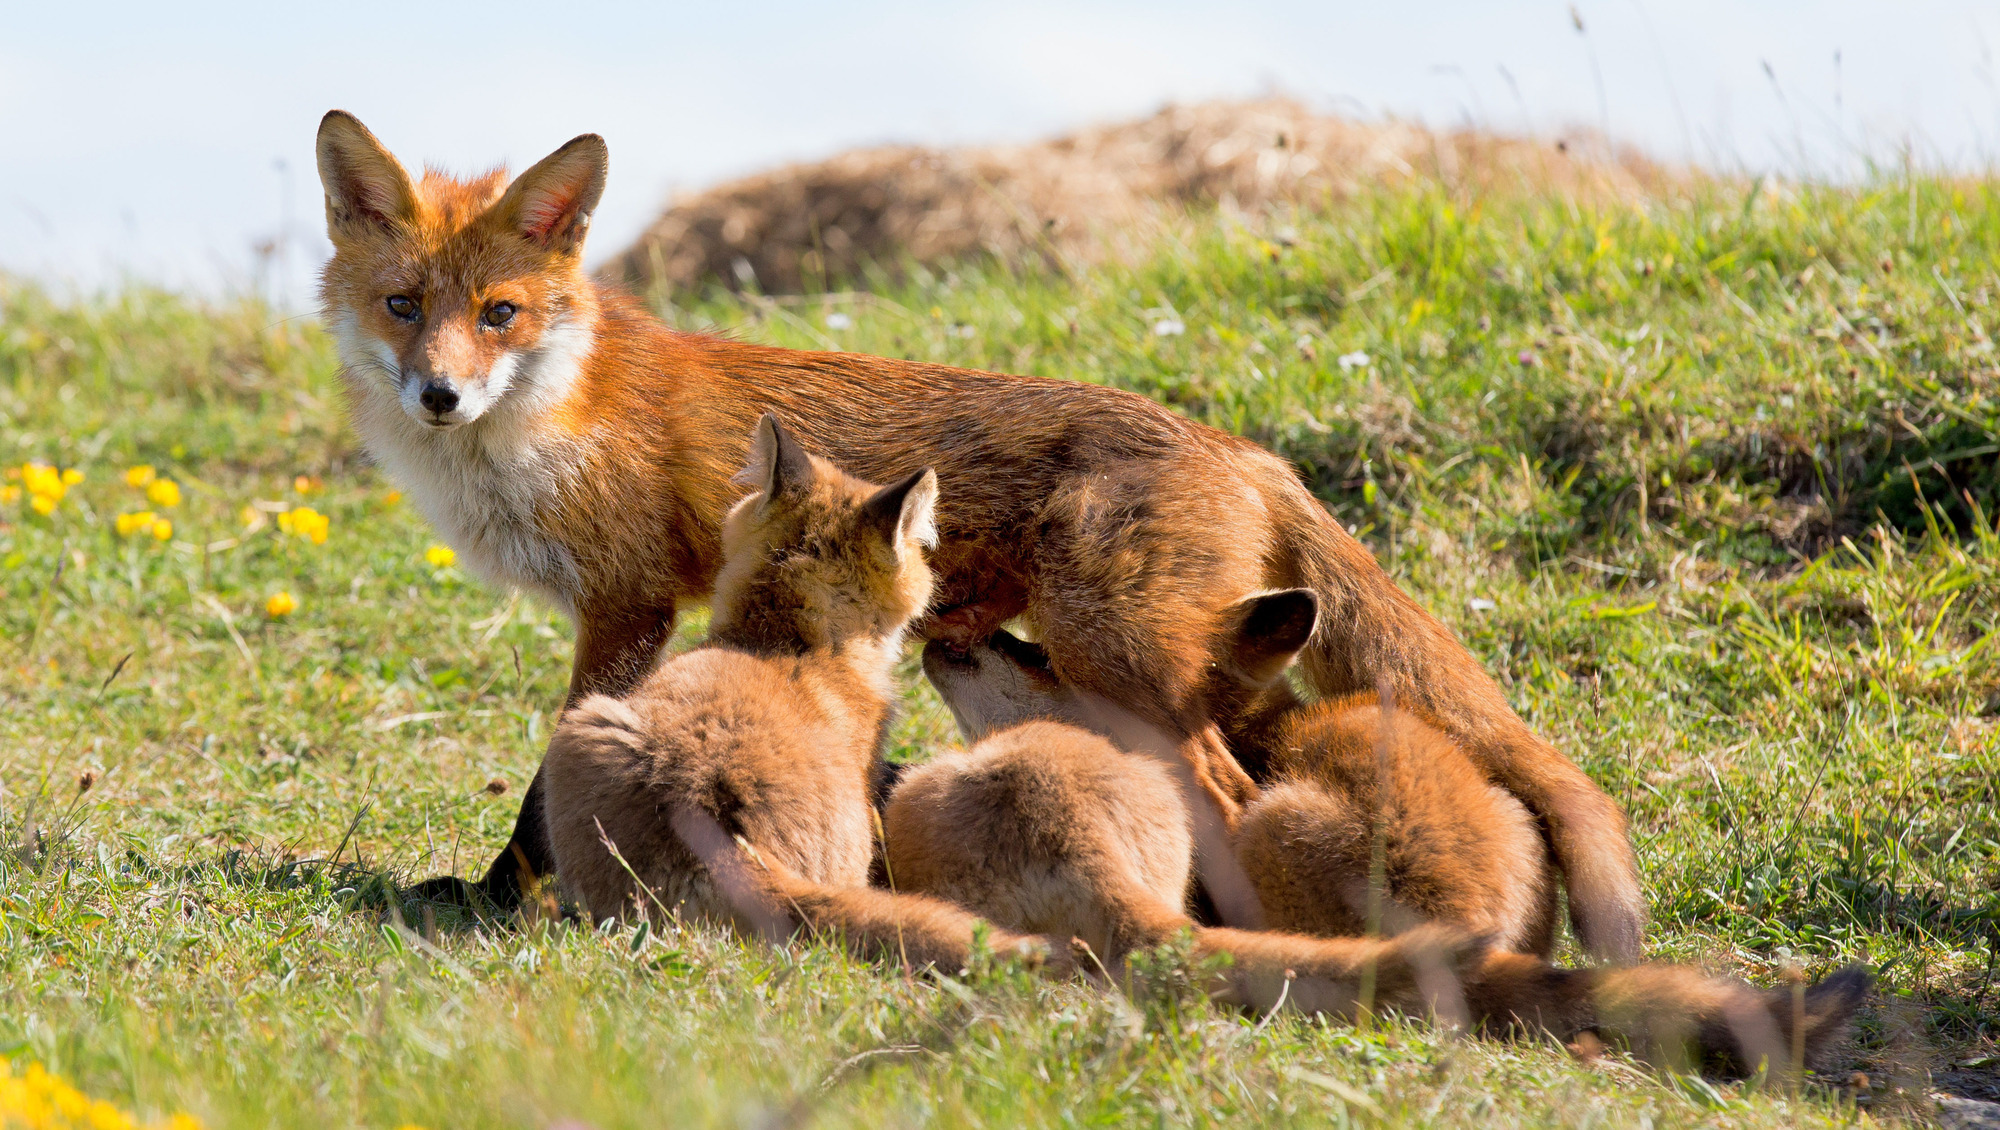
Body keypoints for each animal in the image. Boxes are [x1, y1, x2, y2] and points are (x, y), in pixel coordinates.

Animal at [315, 109, 1643, 958]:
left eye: (499, 313)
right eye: (403, 306)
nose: (438, 394)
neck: (555, 410)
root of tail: (1245, 449)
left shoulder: (628, 599)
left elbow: (545, 781)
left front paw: (498, 896)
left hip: (1115, 655)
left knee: (1226, 781)